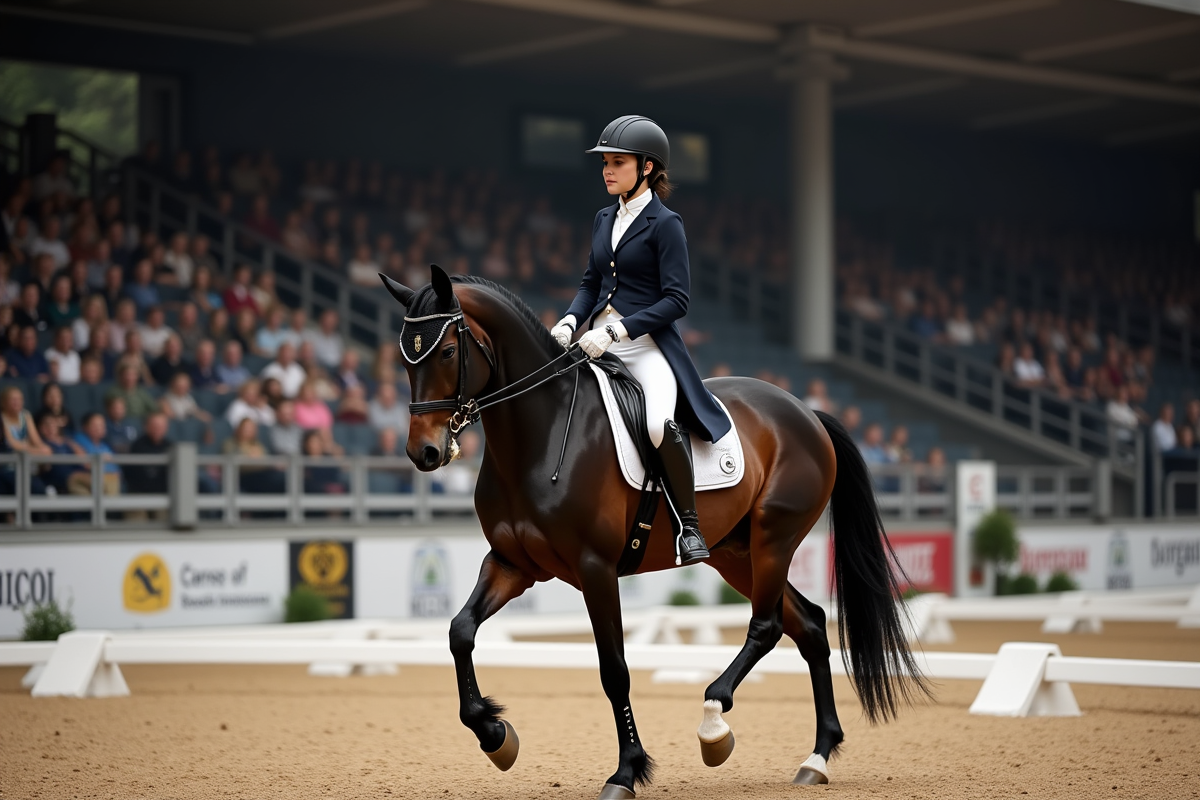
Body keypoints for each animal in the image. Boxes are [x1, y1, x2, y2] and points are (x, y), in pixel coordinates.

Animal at [380, 265, 927, 799]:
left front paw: (626, 771)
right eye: (405, 360)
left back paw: (714, 724)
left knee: (767, 625)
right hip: (735, 553)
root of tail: (804, 410)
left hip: (775, 537)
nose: (424, 453)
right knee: (809, 624)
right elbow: (459, 631)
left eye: (447, 351)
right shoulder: (513, 564)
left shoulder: (595, 569)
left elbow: (614, 669)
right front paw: (495, 735)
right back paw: (815, 758)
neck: (541, 435)